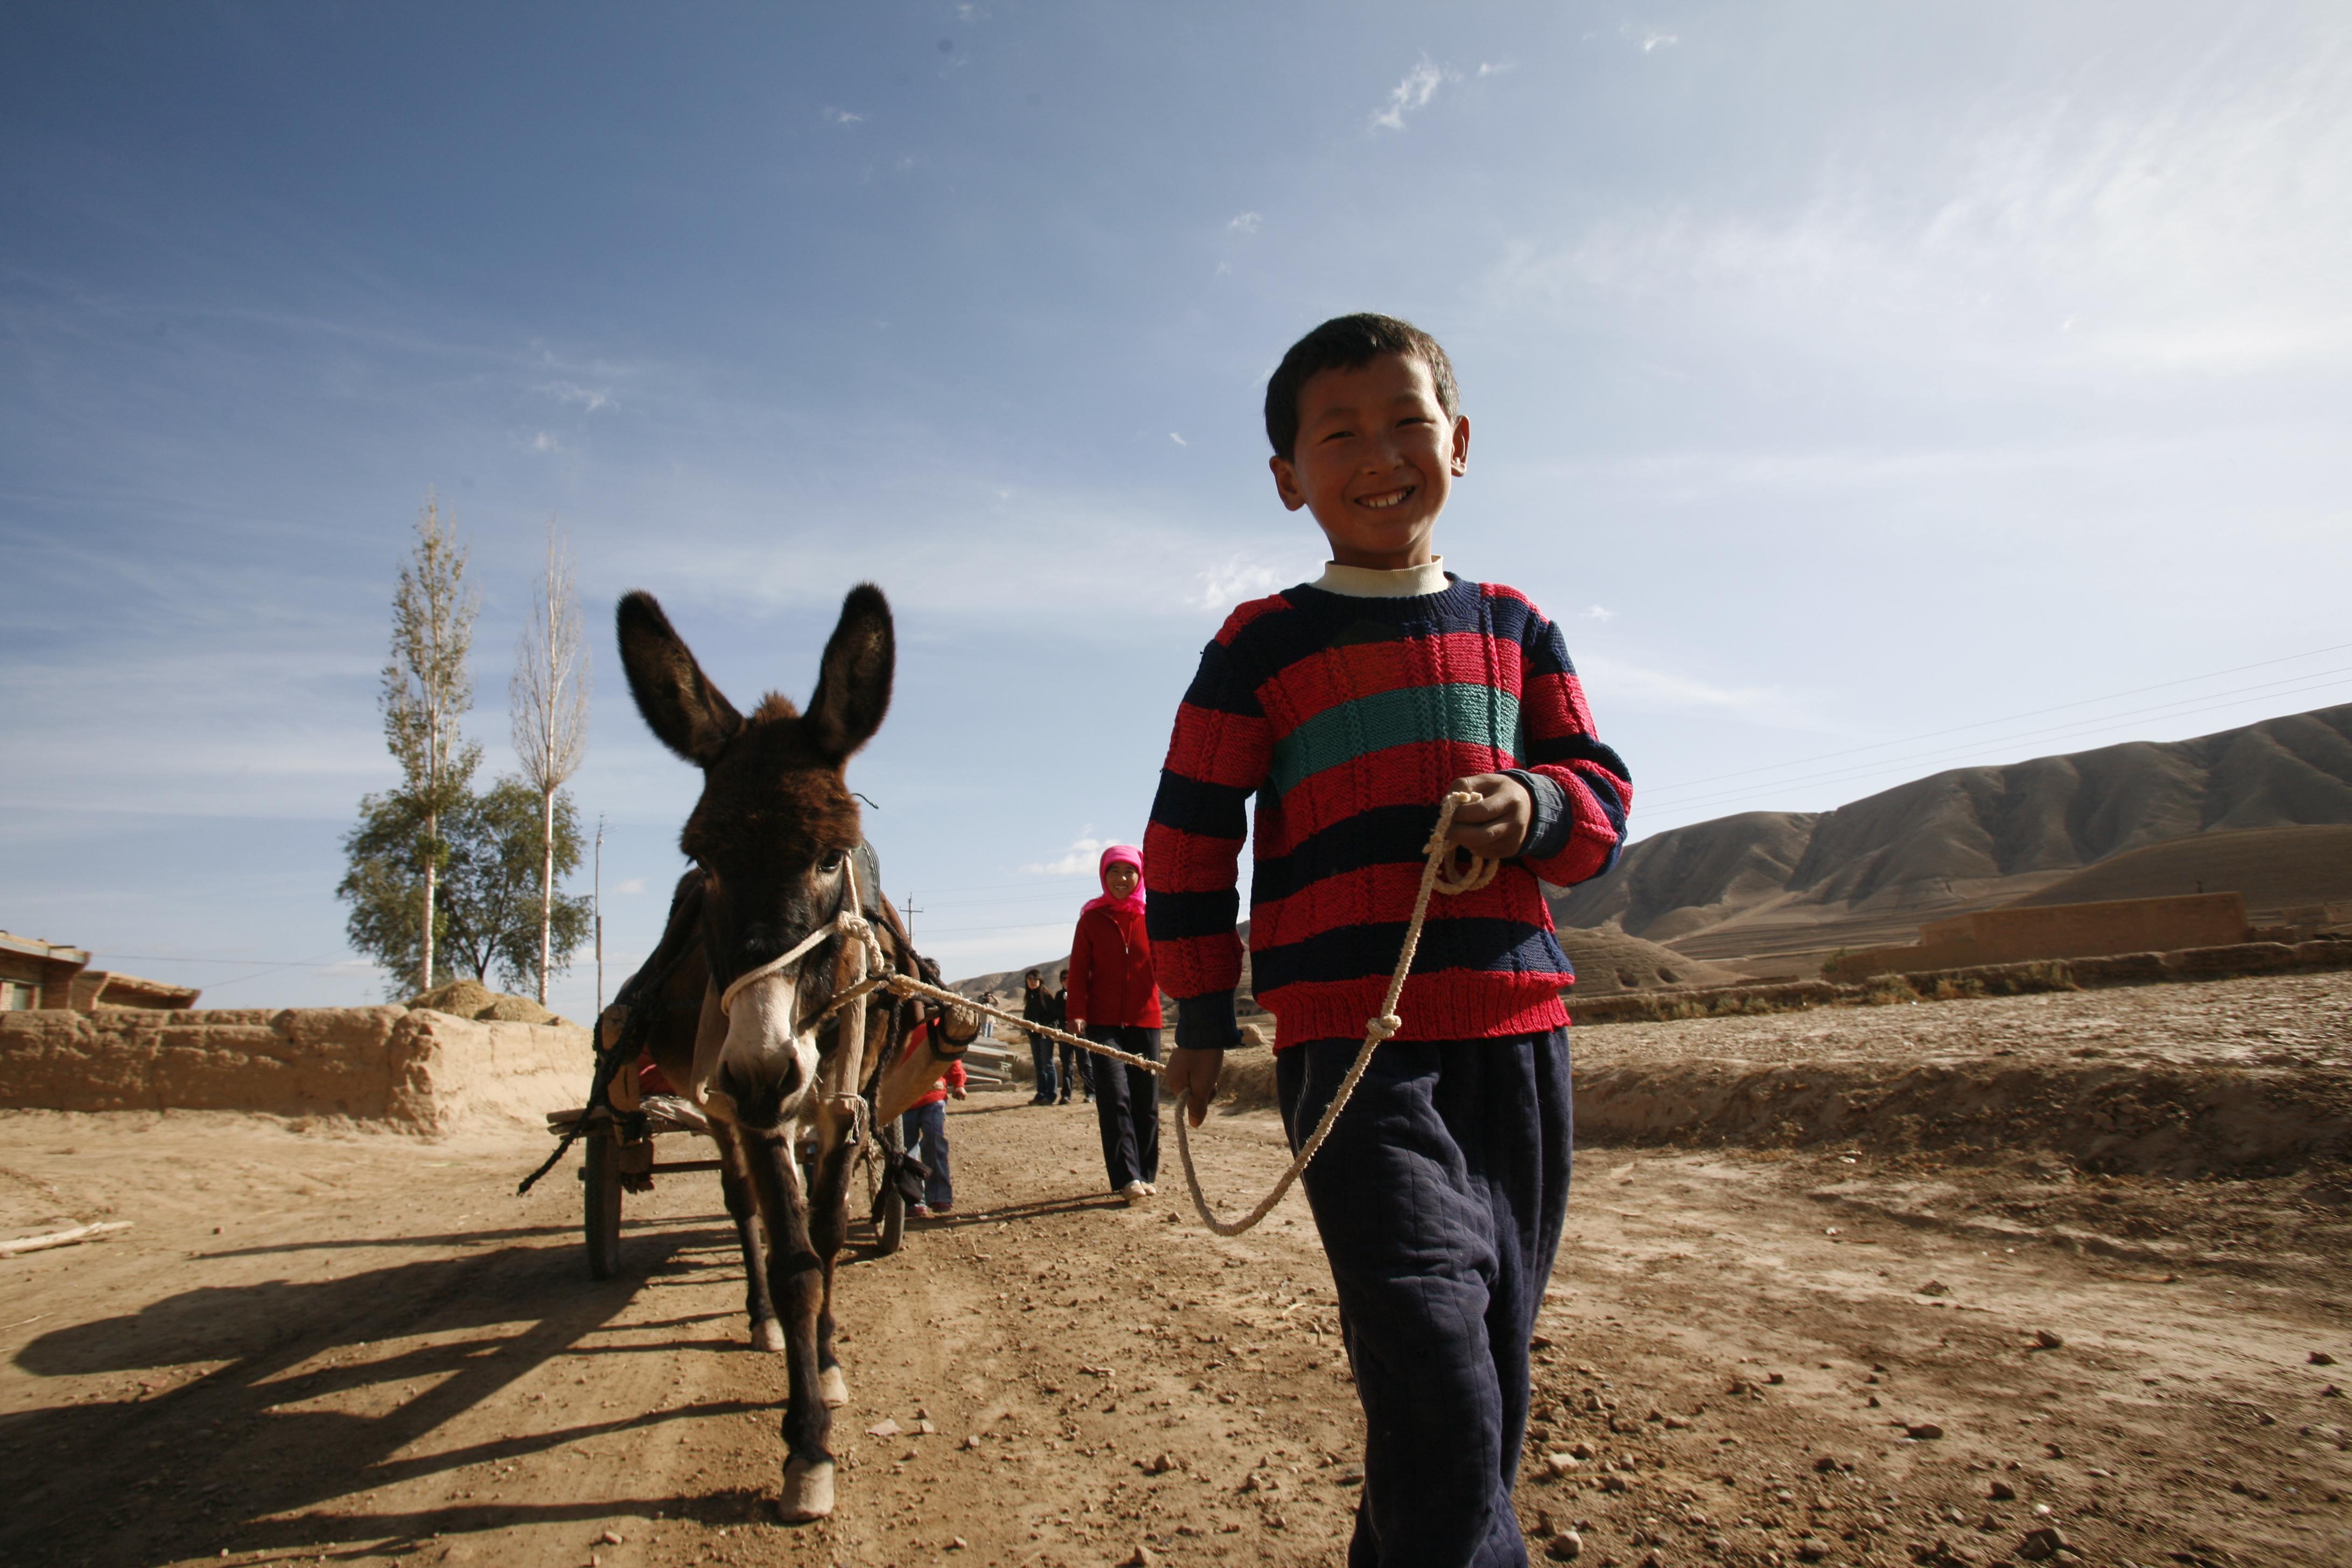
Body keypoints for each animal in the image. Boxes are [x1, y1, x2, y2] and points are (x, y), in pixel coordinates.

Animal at [605, 583, 974, 1521]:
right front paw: (806, 1447)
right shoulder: (755, 1106)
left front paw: (832, 1365)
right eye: (701, 860)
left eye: (831, 855)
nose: (763, 1066)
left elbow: (830, 1233)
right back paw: (764, 1317)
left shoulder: (842, 1099)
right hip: (719, 1106)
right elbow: (794, 1257)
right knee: (743, 1208)